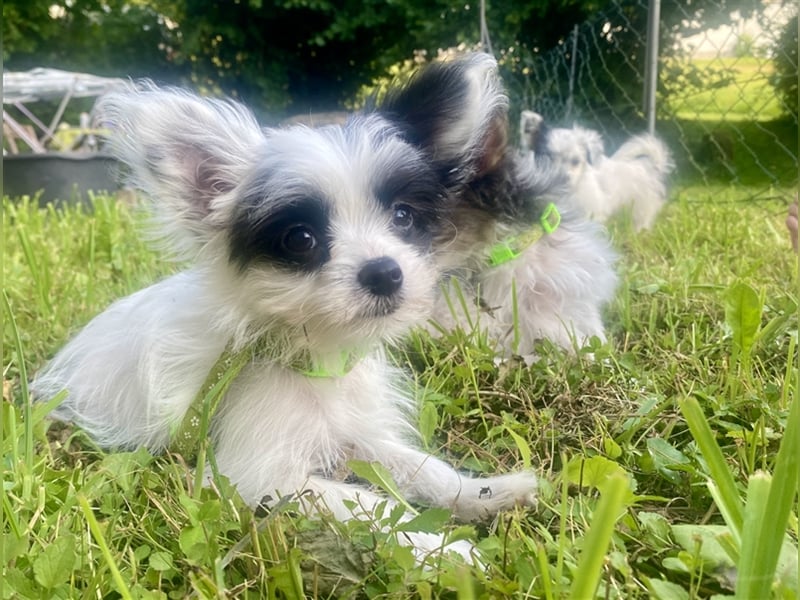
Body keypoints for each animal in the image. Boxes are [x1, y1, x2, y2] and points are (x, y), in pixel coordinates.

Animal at [34, 55, 540, 564]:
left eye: (402, 216)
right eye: (301, 239)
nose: (384, 273)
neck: (313, 355)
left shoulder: (359, 433)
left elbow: (423, 468)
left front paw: (485, 494)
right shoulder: (261, 478)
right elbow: (370, 507)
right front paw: (445, 552)